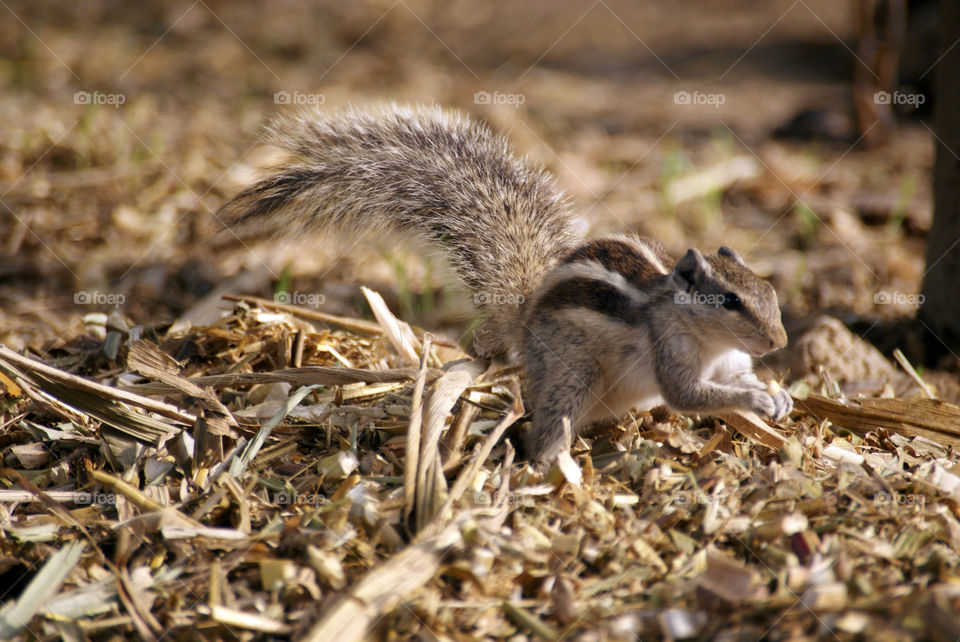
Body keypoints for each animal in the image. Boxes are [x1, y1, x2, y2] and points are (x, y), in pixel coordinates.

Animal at [216, 103, 793, 465]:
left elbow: (731, 382)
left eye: (770, 294)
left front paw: (777, 397)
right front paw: (758, 402)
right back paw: (555, 464)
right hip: (572, 373)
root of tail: (525, 317)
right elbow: (688, 394)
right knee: (548, 425)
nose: (780, 342)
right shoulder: (672, 353)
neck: (707, 339)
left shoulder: (731, 361)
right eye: (728, 301)